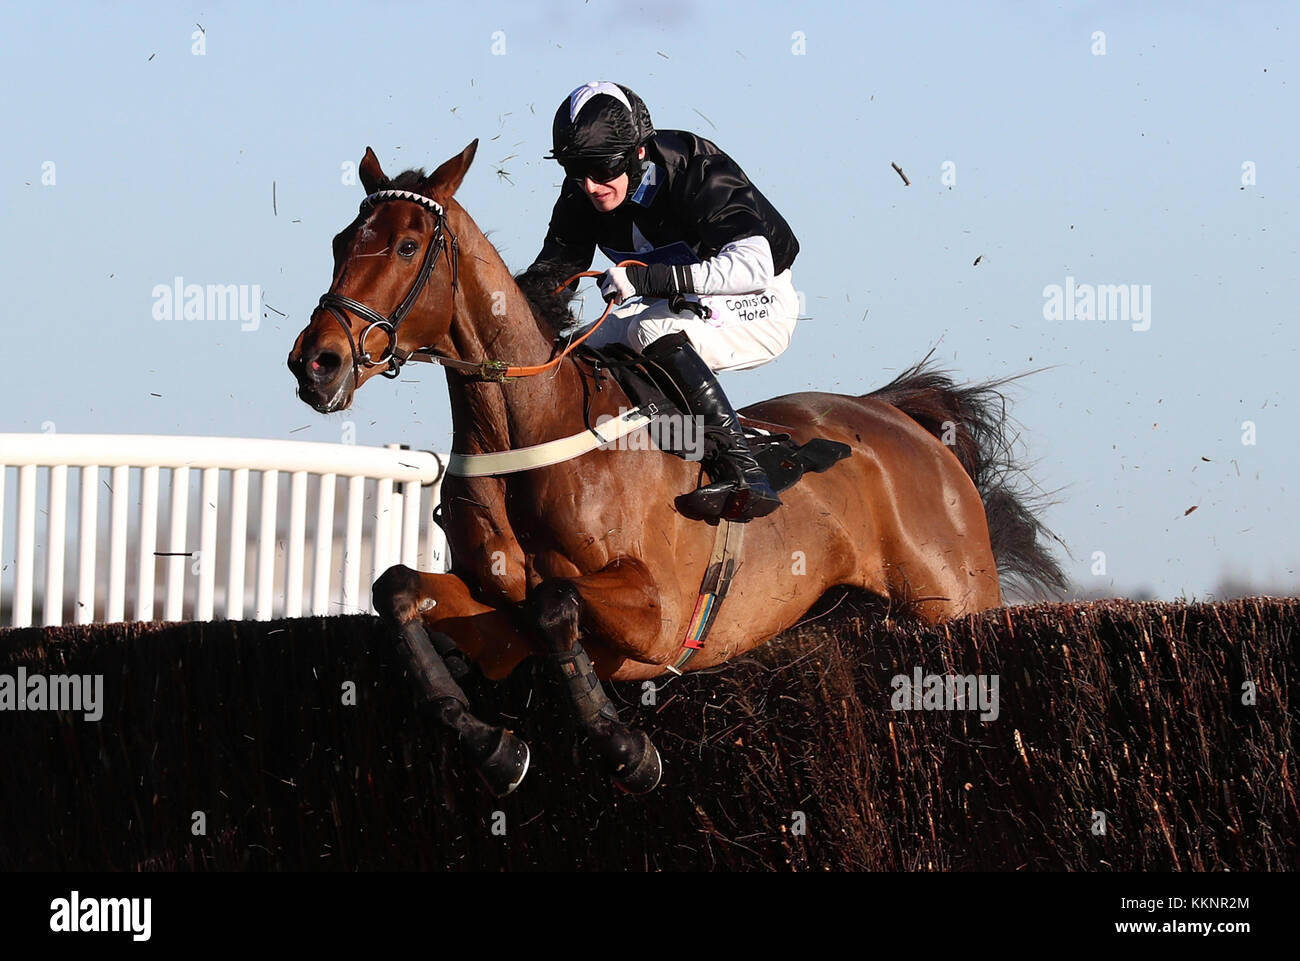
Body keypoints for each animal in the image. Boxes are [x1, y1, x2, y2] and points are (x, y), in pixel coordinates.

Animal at [287, 137, 1066, 795]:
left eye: (407, 244)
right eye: (339, 242)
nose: (315, 362)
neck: (532, 427)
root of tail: (902, 421)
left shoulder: (657, 611)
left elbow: (555, 601)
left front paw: (627, 749)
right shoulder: (497, 616)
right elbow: (399, 590)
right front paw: (495, 747)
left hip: (955, 600)